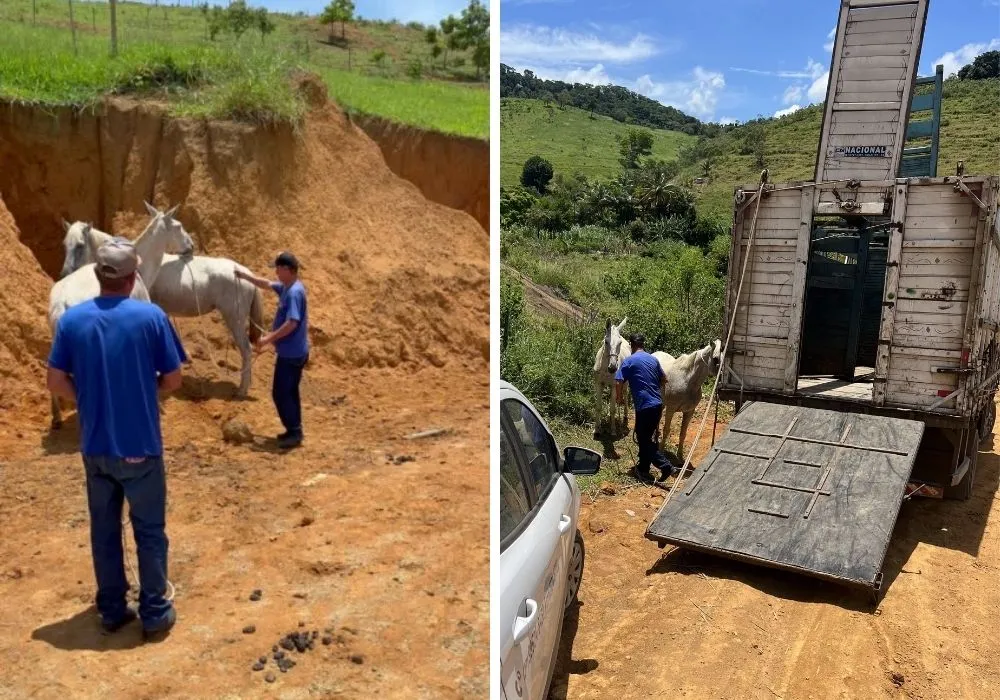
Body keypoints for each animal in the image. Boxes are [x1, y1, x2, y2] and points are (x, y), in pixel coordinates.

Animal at [61, 219, 266, 396]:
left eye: (80, 245)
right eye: (65, 245)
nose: (64, 273)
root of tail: (245, 273)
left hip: (234, 318)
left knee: (246, 350)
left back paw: (241, 390)